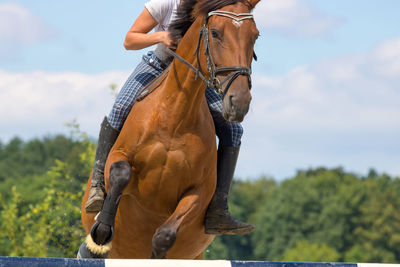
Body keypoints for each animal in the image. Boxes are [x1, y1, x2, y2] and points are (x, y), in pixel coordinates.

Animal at [79, 0, 260, 260]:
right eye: (215, 33)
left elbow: (164, 236)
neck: (174, 118)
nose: (240, 102)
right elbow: (120, 173)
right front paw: (101, 233)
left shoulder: (199, 191)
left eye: (254, 36)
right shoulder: (117, 156)